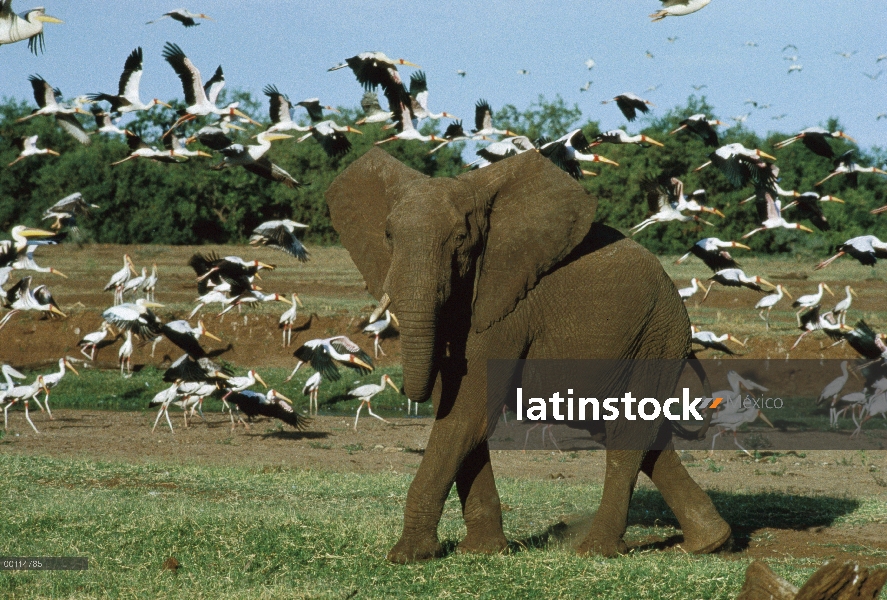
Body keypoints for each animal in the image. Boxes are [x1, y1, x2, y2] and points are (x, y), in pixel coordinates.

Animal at [324, 149, 728, 564]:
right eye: (388, 236)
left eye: (461, 240)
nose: (403, 388)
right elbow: (454, 408)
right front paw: (482, 551)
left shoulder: (508, 309)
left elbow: (466, 412)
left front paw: (407, 555)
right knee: (639, 432)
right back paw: (708, 542)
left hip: (656, 337)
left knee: (628, 431)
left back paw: (594, 551)